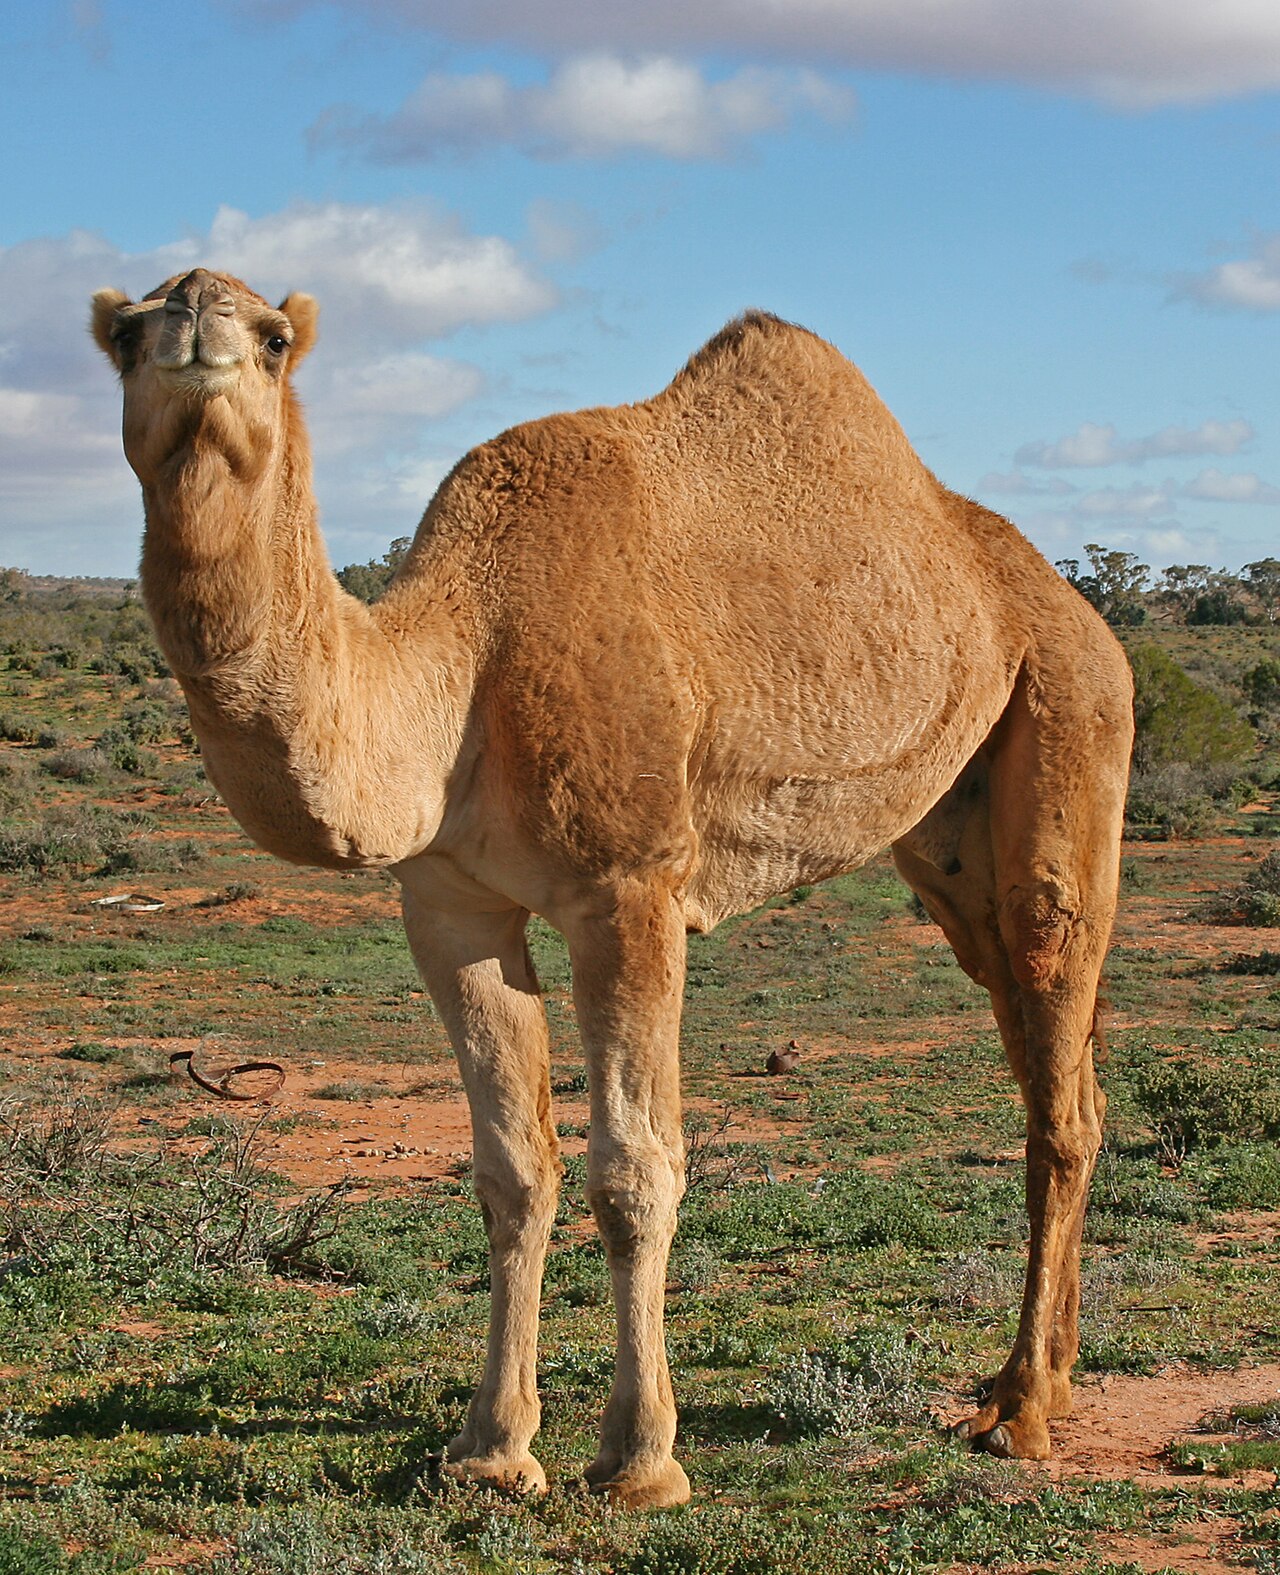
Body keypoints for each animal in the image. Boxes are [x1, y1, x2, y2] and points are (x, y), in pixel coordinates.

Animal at [91, 268, 1133, 1509]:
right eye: (125, 334)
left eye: (273, 338)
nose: (196, 326)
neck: (463, 661)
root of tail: (1070, 606)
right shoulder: (448, 905)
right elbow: (511, 1169)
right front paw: (490, 1452)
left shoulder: (629, 889)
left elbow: (635, 1171)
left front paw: (640, 1459)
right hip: (948, 836)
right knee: (1045, 1060)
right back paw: (1040, 1381)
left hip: (1069, 715)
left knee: (1057, 1053)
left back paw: (1021, 1412)